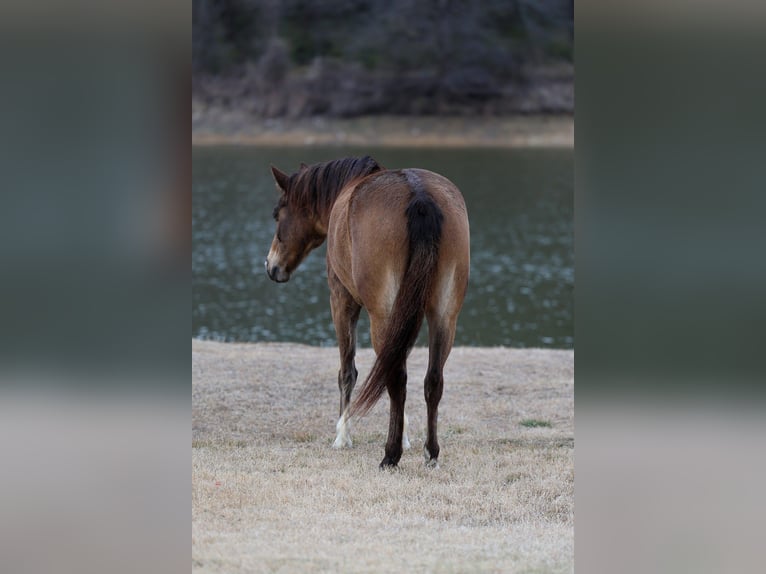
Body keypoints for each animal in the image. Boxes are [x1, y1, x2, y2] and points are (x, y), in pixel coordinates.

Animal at [265, 156, 470, 468]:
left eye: (278, 214)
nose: (271, 266)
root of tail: (420, 197)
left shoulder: (341, 299)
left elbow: (348, 371)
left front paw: (342, 435)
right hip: (443, 316)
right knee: (432, 379)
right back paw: (430, 452)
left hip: (382, 316)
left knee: (395, 377)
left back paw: (390, 455)